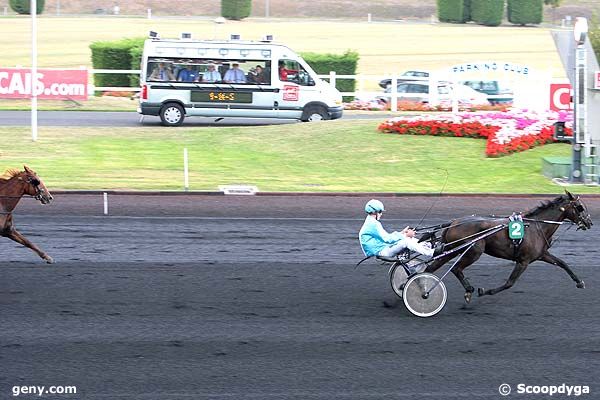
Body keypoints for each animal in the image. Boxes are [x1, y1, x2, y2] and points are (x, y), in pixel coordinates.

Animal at [426, 191, 592, 304]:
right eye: (580, 207)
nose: (589, 222)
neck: (537, 226)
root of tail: (453, 223)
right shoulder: (523, 261)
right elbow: (509, 283)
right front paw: (485, 291)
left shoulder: (542, 255)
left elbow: (563, 263)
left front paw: (579, 282)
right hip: (473, 251)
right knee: (456, 268)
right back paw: (468, 290)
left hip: (451, 250)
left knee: (431, 268)